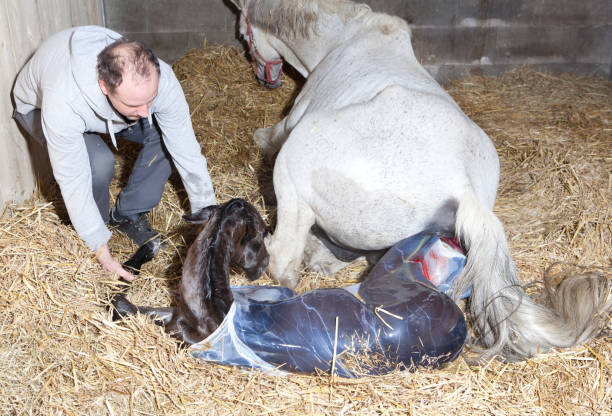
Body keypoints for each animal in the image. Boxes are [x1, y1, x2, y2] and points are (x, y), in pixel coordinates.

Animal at [227, 0, 608, 360]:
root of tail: (463, 189)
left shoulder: (284, 132)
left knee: (284, 258)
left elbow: (264, 137)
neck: (342, 38)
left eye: (244, 34)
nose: (265, 77)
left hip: (294, 166)